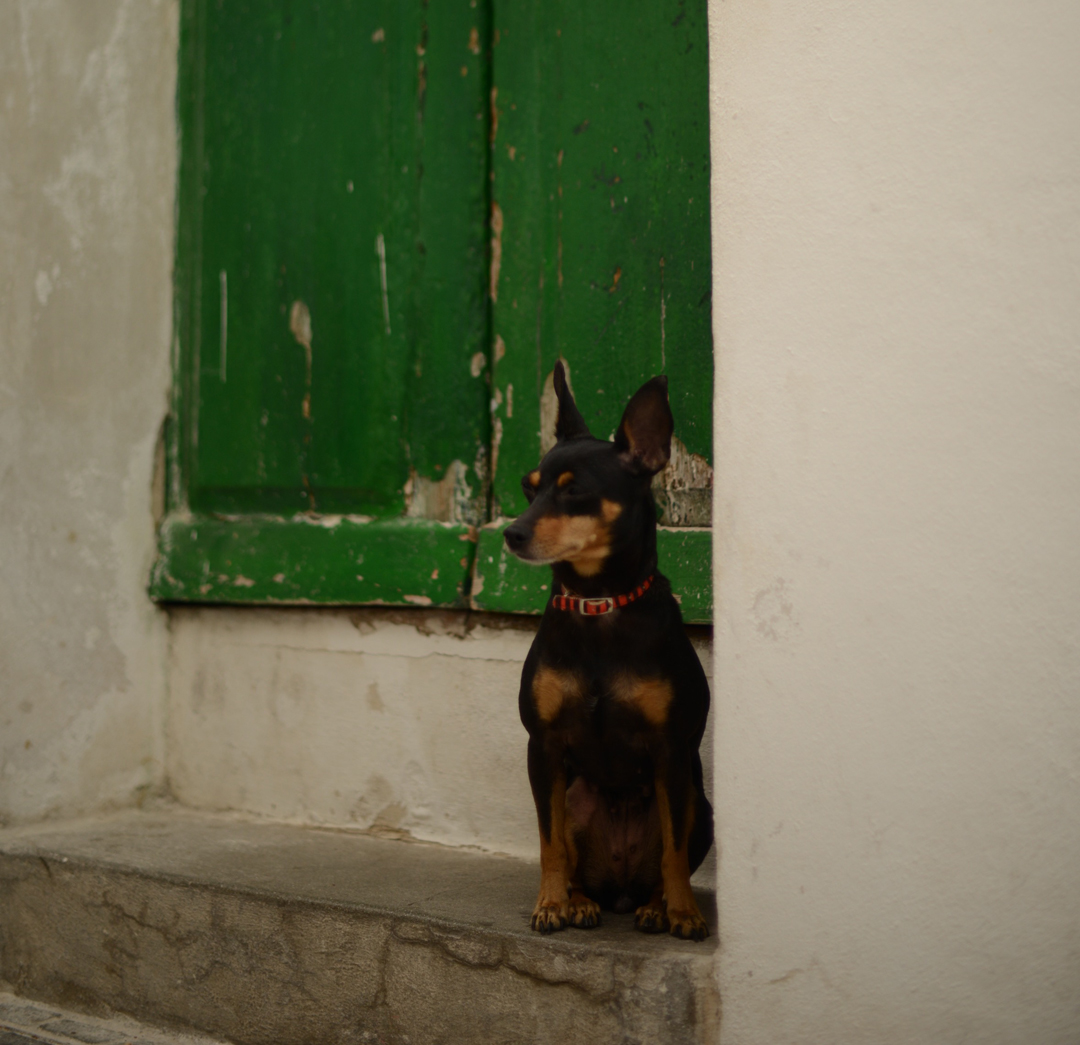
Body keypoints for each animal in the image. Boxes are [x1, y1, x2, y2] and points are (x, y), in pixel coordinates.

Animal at [501, 358, 712, 937]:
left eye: (573, 491)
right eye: (529, 489)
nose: (511, 533)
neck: (599, 603)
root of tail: (619, 888)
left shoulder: (670, 750)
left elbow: (674, 853)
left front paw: (684, 912)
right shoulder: (543, 747)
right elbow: (549, 843)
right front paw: (550, 904)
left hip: (698, 803)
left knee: (668, 857)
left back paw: (657, 907)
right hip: (574, 796)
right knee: (572, 855)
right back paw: (577, 901)